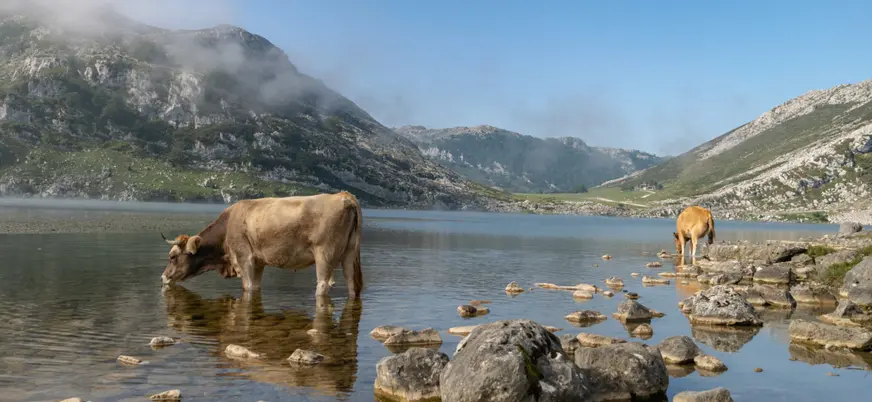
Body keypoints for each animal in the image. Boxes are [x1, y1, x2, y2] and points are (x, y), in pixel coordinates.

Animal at [160, 191, 363, 298]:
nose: (163, 277)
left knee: (323, 285)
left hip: (324, 254)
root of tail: (343, 196)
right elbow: (255, 287)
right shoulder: (258, 263)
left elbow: (248, 287)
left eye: (172, 257)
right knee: (352, 284)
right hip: (349, 254)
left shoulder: (244, 259)